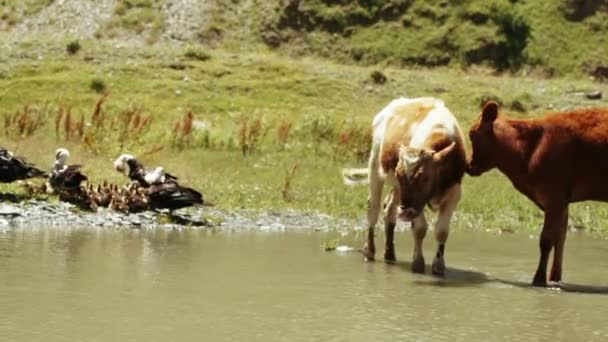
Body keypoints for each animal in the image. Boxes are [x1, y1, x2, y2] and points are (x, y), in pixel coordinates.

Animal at [342, 96, 466, 276]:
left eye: (425, 177)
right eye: (399, 174)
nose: (406, 212)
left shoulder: (454, 194)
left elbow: (441, 231)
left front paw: (438, 266)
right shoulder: (415, 203)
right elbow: (420, 229)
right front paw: (418, 263)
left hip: (396, 190)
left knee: (390, 210)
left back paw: (390, 254)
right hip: (375, 169)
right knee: (373, 209)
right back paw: (369, 251)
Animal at [470, 101, 608, 286]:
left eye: (472, 134)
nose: (469, 166)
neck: (529, 149)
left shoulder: (554, 197)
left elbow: (546, 240)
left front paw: (539, 280)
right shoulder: (562, 202)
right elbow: (560, 239)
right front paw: (554, 279)